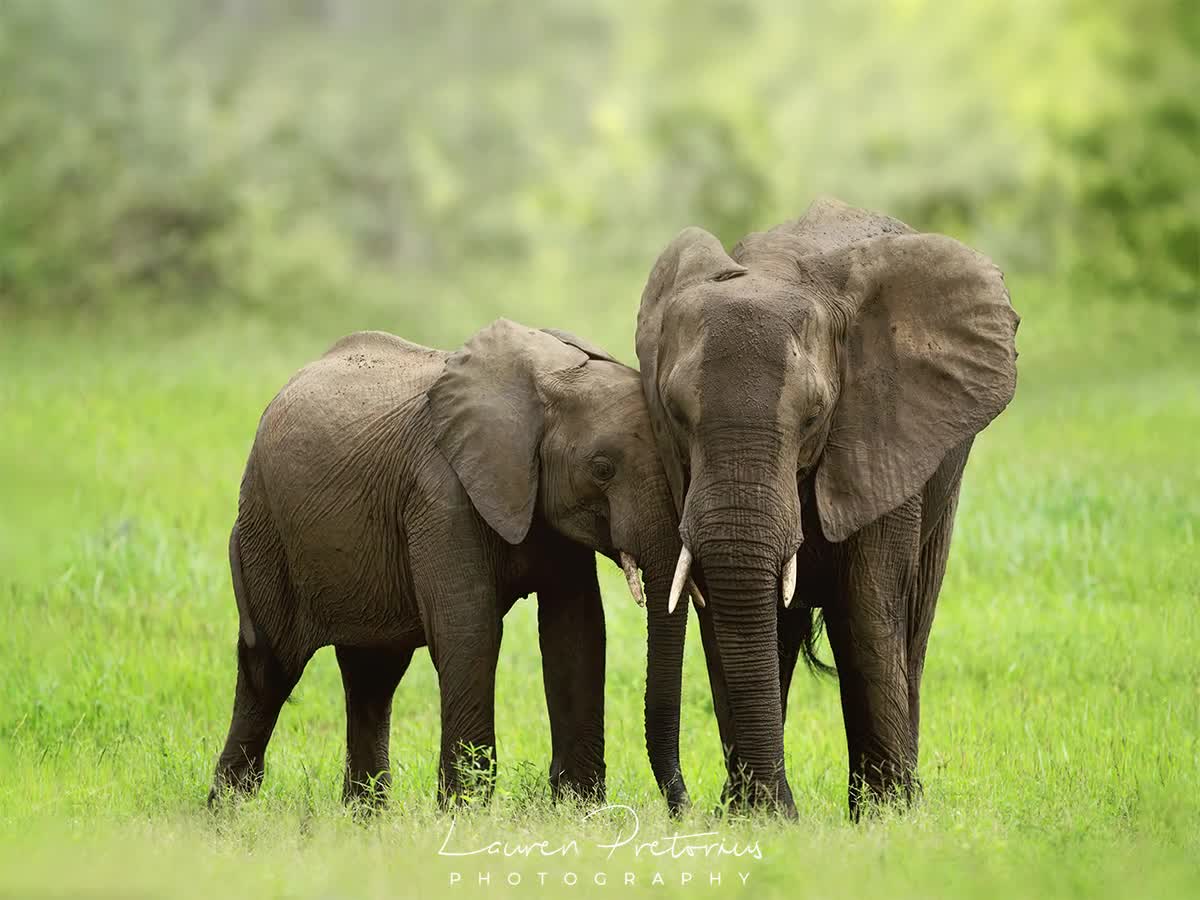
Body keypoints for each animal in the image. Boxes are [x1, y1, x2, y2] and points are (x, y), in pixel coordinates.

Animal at [205, 319, 696, 811]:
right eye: (601, 469)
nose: (685, 810)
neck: (547, 385)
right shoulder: (439, 495)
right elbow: (470, 630)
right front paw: (467, 812)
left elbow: (576, 630)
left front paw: (580, 809)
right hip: (266, 529)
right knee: (271, 667)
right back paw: (228, 810)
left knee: (372, 675)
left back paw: (365, 817)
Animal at [633, 200, 1017, 820]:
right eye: (675, 413)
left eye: (815, 416)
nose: (692, 810)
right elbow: (730, 614)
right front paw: (753, 818)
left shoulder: (880, 436)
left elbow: (866, 603)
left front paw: (887, 819)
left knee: (913, 623)